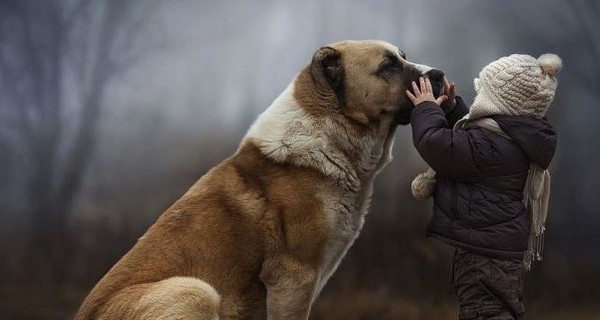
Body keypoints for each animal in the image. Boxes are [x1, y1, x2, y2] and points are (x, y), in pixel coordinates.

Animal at [75, 40, 442, 320]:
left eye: (403, 57)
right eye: (388, 66)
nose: (439, 74)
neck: (330, 136)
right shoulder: (293, 278)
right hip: (194, 290)